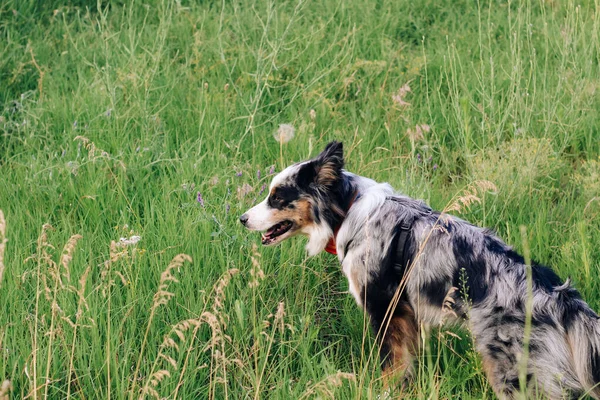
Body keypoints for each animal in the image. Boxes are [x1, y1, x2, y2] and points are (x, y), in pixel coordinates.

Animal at [239, 141, 600, 400]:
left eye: (277, 197)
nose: (242, 218)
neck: (348, 210)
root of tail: (558, 294)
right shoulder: (406, 314)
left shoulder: (384, 307)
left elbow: (390, 364)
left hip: (514, 368)